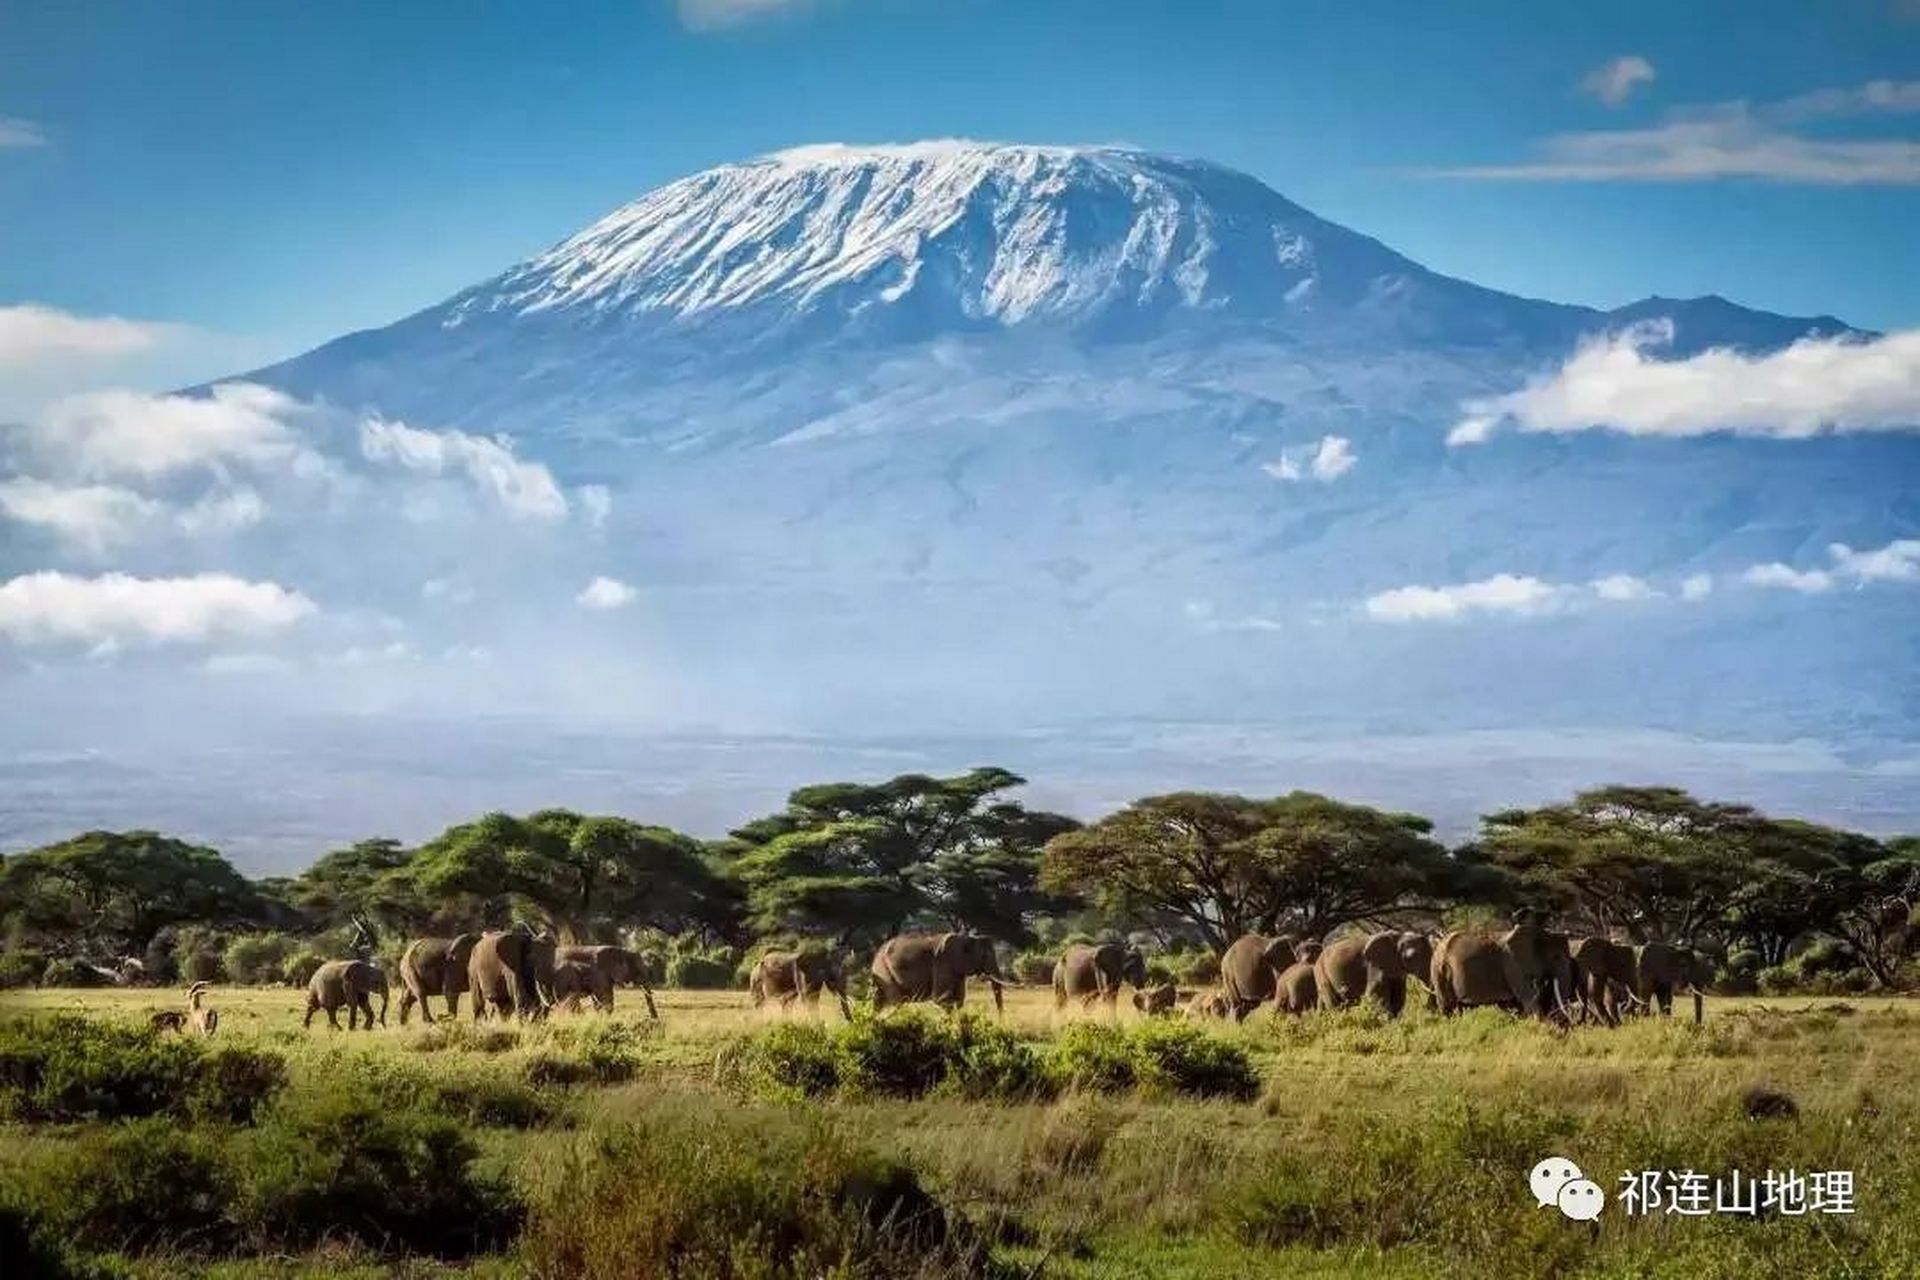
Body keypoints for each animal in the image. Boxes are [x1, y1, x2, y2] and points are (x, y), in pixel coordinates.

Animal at [871, 932, 1013, 1013]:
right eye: (984, 956)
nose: (1001, 1020)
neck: (967, 938)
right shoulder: (942, 962)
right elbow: (940, 999)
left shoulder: (956, 971)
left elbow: (959, 1000)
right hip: (885, 971)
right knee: (897, 1001)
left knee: (879, 1000)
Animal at [1428, 924, 1574, 1028]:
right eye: (1556, 957)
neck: (1542, 933)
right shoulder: (1514, 964)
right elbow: (1528, 999)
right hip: (1438, 970)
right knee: (1447, 1006)